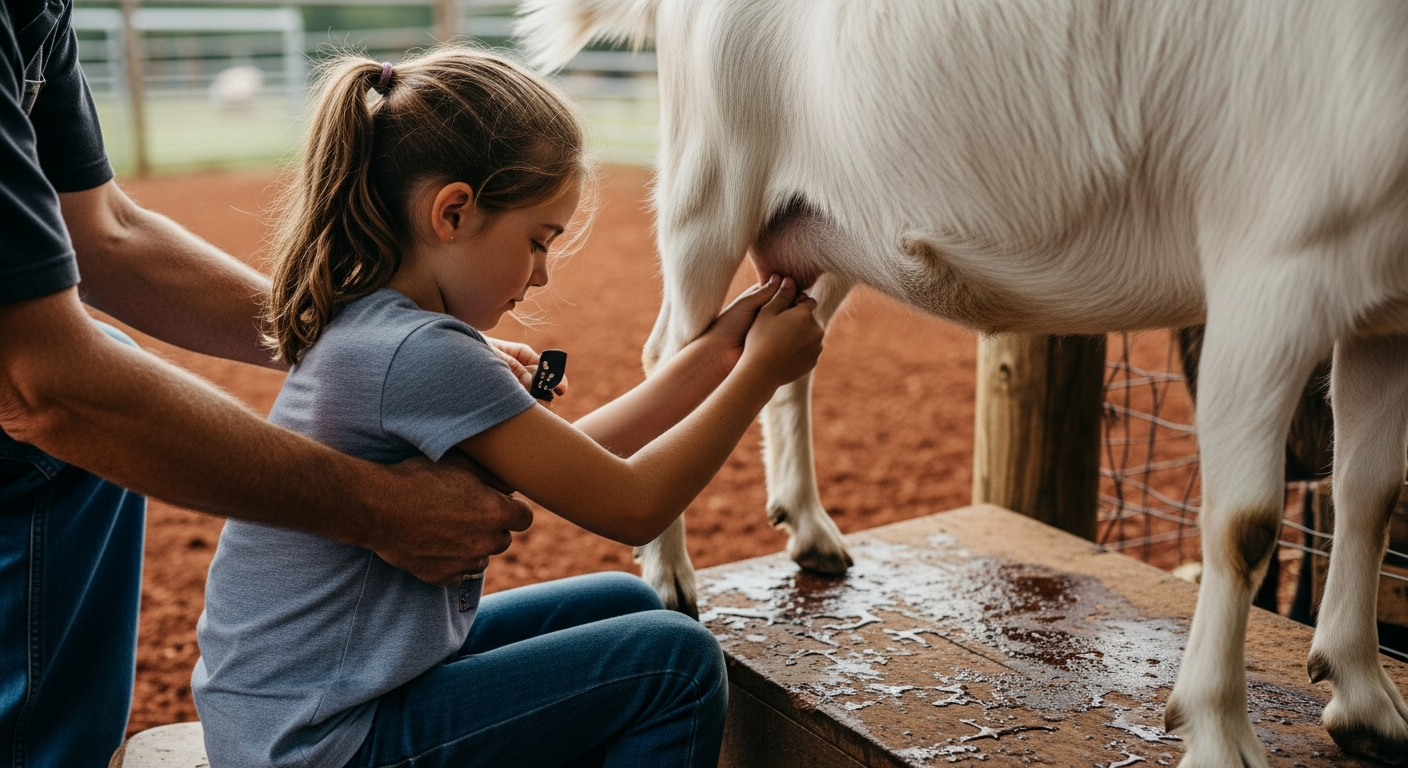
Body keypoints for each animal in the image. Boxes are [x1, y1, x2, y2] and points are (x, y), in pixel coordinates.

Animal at [516, 1, 1408, 765]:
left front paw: (1368, 704)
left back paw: (810, 529)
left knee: (782, 346)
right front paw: (1221, 732)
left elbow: (1370, 496)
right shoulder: (1270, 268)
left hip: (820, 226)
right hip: (710, 183)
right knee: (674, 351)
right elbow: (1245, 524)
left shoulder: (1386, 316)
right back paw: (669, 574)